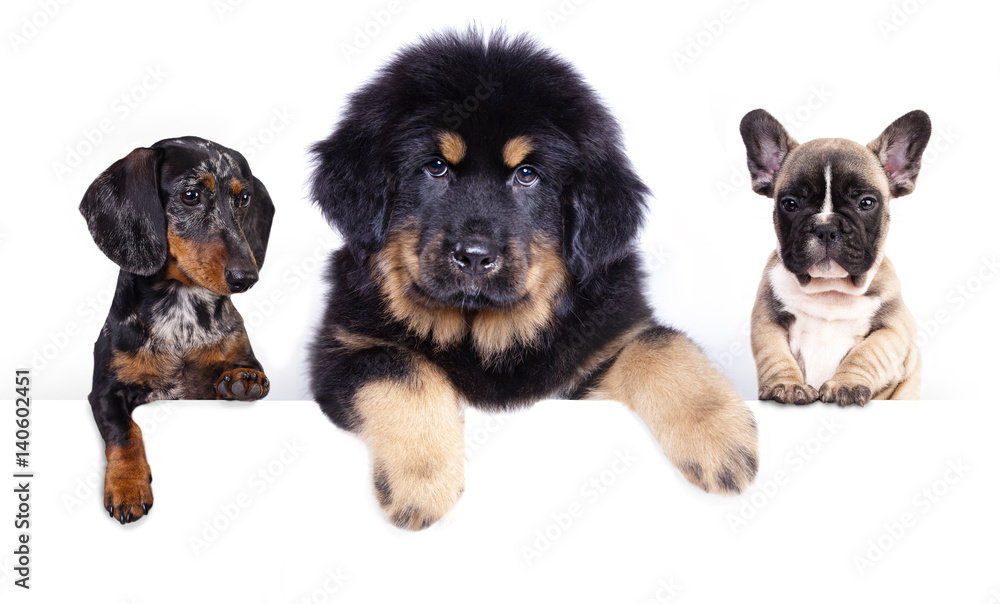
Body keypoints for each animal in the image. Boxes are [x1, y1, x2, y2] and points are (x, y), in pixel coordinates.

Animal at [79, 137, 274, 524]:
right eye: (190, 195)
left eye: (244, 198)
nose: (246, 277)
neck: (181, 317)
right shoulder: (104, 392)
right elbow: (125, 431)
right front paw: (127, 486)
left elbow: (245, 368)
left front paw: (242, 379)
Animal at [310, 30, 756, 528]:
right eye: (436, 167)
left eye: (527, 175)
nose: (475, 256)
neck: (484, 335)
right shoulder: (339, 353)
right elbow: (396, 365)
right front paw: (422, 480)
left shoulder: (594, 362)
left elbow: (659, 343)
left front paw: (722, 440)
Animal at [744, 111, 928, 408]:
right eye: (790, 204)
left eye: (866, 203)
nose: (826, 227)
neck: (829, 291)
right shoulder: (767, 321)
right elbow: (775, 354)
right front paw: (787, 385)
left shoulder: (894, 328)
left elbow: (867, 353)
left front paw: (848, 383)